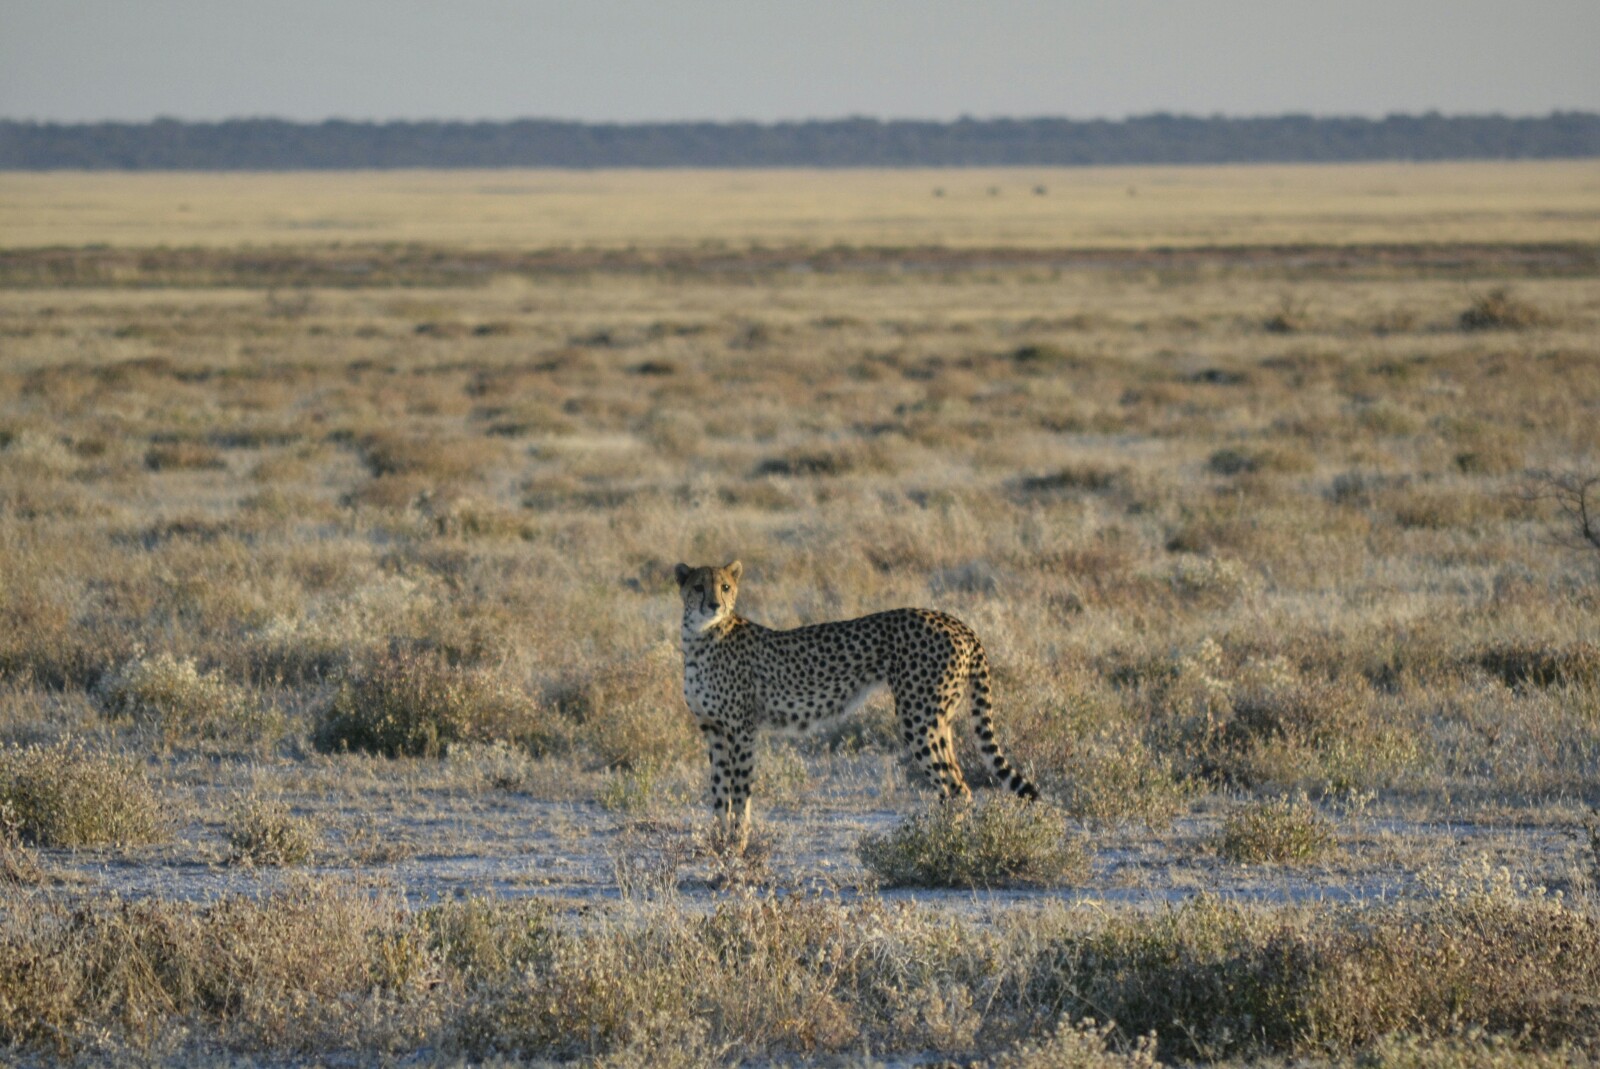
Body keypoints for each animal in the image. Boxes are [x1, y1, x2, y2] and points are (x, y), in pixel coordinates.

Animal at [674, 559, 1038, 844]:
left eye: (725, 586)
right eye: (698, 587)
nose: (714, 605)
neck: (700, 637)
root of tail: (957, 622)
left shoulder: (742, 730)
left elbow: (739, 792)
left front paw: (737, 847)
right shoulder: (713, 730)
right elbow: (718, 792)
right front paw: (718, 844)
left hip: (918, 719)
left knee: (956, 788)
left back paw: (945, 845)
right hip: (938, 719)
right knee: (957, 781)